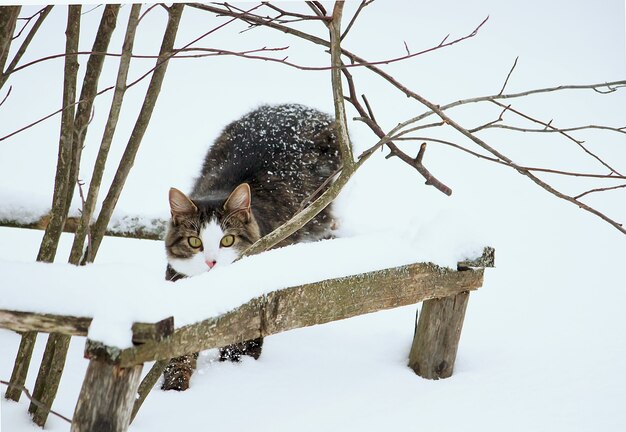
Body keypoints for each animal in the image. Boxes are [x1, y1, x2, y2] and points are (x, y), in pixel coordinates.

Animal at [158, 104, 338, 392]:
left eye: (227, 240)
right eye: (195, 242)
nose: (211, 262)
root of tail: (300, 108)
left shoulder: (253, 308)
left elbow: (240, 349)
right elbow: (179, 352)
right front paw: (175, 387)